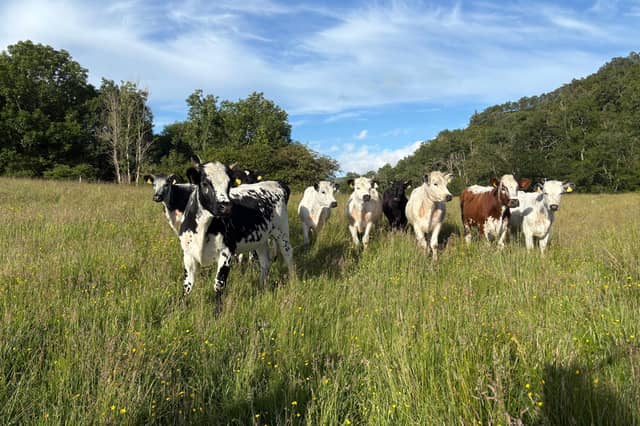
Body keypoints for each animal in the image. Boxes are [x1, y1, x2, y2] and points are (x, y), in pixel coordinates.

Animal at [179, 158, 294, 295]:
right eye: (205, 183)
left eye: (229, 184)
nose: (226, 206)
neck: (203, 228)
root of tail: (275, 183)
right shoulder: (188, 255)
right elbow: (187, 287)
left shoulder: (227, 252)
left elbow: (219, 285)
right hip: (261, 239)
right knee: (265, 262)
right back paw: (261, 286)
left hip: (282, 233)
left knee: (288, 256)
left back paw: (294, 283)